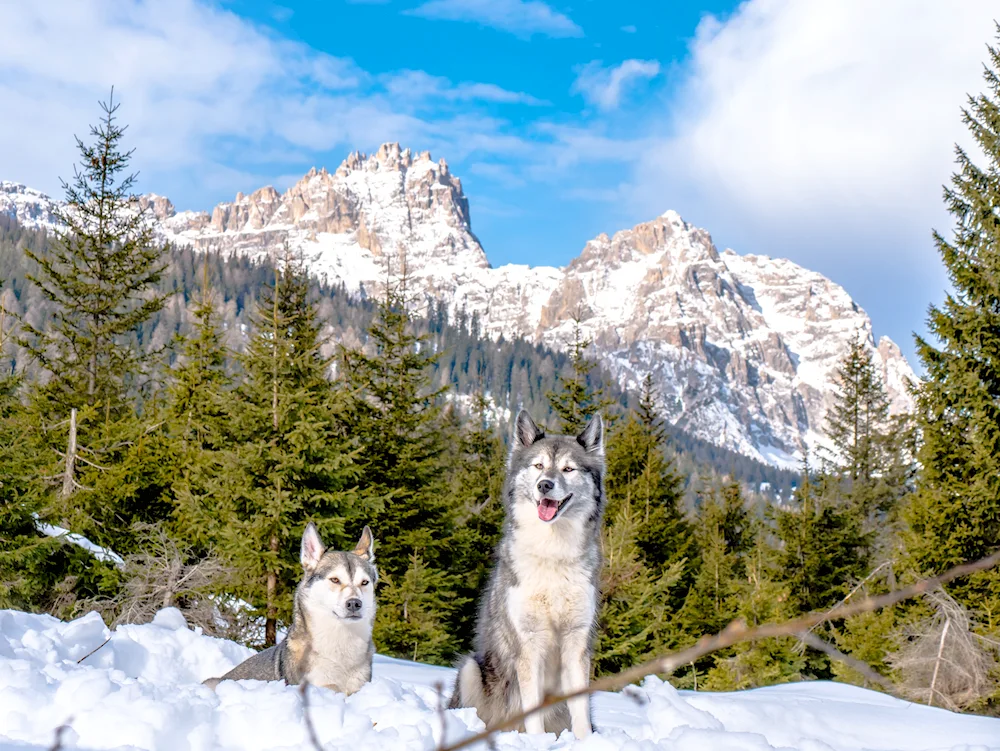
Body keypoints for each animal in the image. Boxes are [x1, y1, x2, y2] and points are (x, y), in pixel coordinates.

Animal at [450, 408, 604, 736]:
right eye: (539, 465)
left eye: (568, 469)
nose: (545, 484)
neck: (552, 555)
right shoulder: (528, 646)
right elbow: (532, 713)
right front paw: (536, 741)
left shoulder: (576, 643)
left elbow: (580, 713)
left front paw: (586, 741)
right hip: (471, 670)